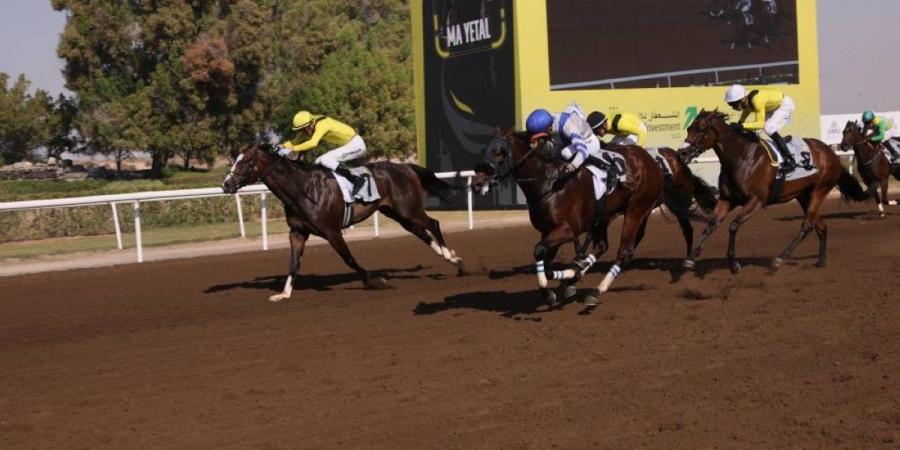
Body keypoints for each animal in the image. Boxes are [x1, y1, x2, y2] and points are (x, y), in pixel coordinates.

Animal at [221, 141, 464, 302]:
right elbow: (293, 263)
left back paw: (452, 257)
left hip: (408, 208)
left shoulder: (331, 231)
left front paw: (373, 280)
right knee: (421, 233)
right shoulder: (297, 232)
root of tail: (405, 166)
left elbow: (348, 258)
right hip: (396, 213)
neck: (302, 189)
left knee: (433, 224)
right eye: (235, 160)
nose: (225, 184)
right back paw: (449, 258)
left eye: (246, 161)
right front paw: (284, 293)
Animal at [468, 129, 712, 306]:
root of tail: (653, 160)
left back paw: (596, 291)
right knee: (605, 244)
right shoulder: (549, 231)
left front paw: (560, 280)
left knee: (625, 251)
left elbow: (541, 253)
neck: (548, 184)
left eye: (500, 152)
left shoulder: (567, 229)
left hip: (637, 208)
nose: (477, 183)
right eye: (486, 150)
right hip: (608, 215)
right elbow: (543, 256)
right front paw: (555, 287)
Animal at [684, 110, 872, 272]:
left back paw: (780, 258)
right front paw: (691, 257)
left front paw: (733, 264)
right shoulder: (726, 199)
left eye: (701, 129)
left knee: (807, 225)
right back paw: (821, 260)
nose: (683, 152)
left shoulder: (756, 200)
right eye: (689, 128)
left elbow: (733, 225)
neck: (742, 157)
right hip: (804, 195)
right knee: (820, 225)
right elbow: (711, 224)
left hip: (820, 189)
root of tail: (831, 154)